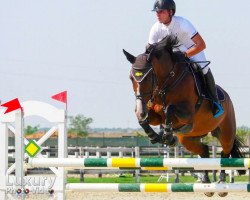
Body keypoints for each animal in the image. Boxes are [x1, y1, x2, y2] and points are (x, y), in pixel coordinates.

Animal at [123, 35, 244, 196]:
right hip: (189, 139)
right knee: (204, 151)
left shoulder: (187, 113)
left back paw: (222, 184)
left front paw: (168, 136)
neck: (167, 83)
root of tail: (228, 98)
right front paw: (155, 136)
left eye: (148, 77)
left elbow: (169, 109)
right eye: (131, 78)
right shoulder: (155, 115)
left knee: (225, 153)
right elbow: (144, 120)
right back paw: (206, 183)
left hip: (226, 133)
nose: (140, 109)